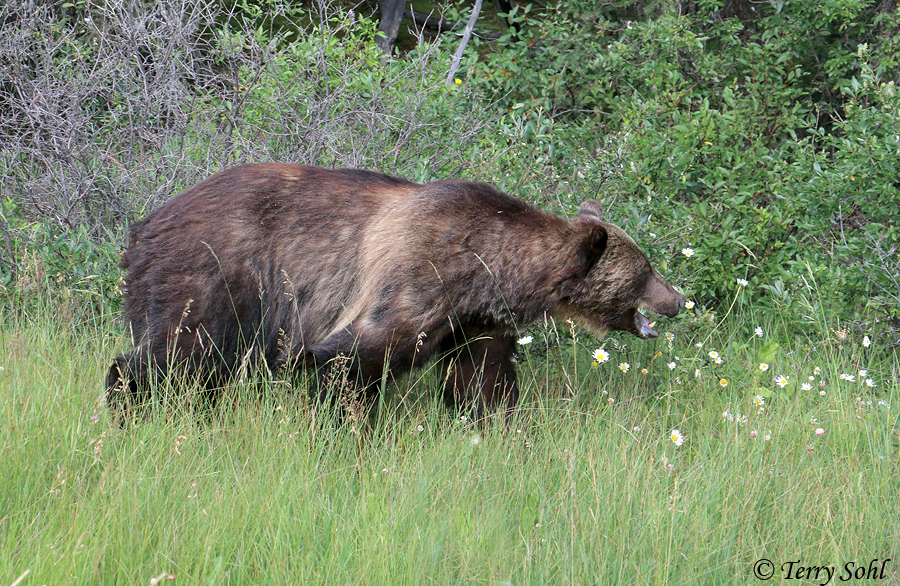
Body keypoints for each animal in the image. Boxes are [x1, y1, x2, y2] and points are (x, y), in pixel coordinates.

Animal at [106, 163, 685, 420]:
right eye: (647, 269)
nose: (678, 299)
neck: (488, 268)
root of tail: (142, 227)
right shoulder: (416, 277)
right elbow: (350, 360)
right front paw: (345, 432)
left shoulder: (472, 319)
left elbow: (483, 379)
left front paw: (497, 426)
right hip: (214, 275)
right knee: (178, 353)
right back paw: (126, 403)